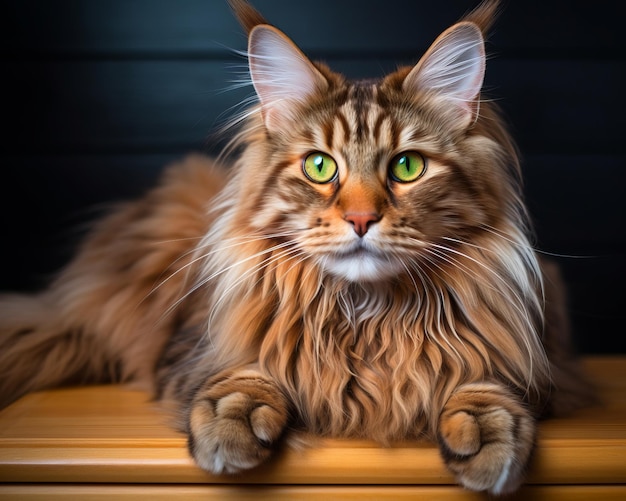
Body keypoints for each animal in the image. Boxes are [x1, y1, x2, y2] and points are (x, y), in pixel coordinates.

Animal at [0, 0, 588, 492]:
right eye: (320, 167)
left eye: (407, 167)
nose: (360, 218)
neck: (367, 319)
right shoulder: (193, 352)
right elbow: (247, 372)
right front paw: (232, 422)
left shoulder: (540, 361)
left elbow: (485, 379)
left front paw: (486, 431)